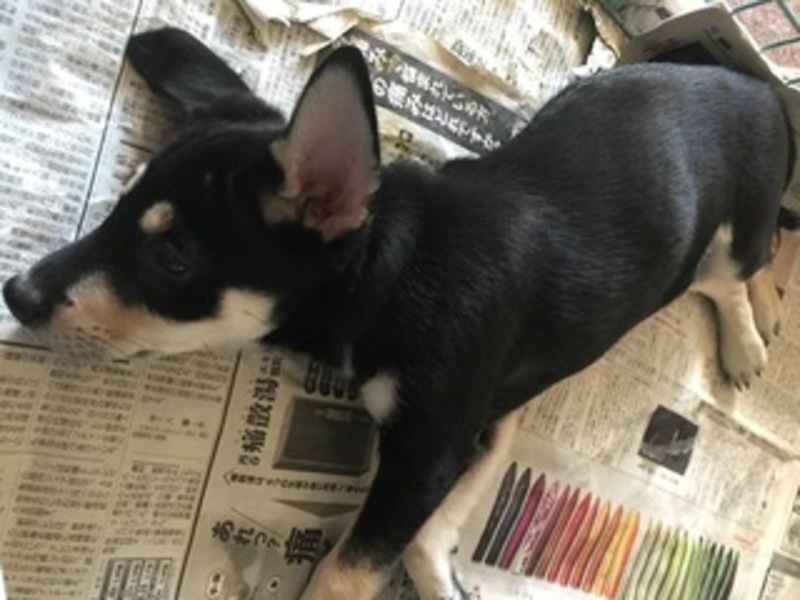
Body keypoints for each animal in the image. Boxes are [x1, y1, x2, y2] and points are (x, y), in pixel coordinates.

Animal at [2, 27, 797, 599]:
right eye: (115, 213)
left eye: (172, 260)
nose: (17, 292)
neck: (393, 273)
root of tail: (759, 89)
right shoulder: (478, 425)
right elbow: (421, 534)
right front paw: (444, 573)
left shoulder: (430, 446)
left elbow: (348, 570)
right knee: (739, 265)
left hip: (733, 224)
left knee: (740, 264)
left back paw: (748, 341)